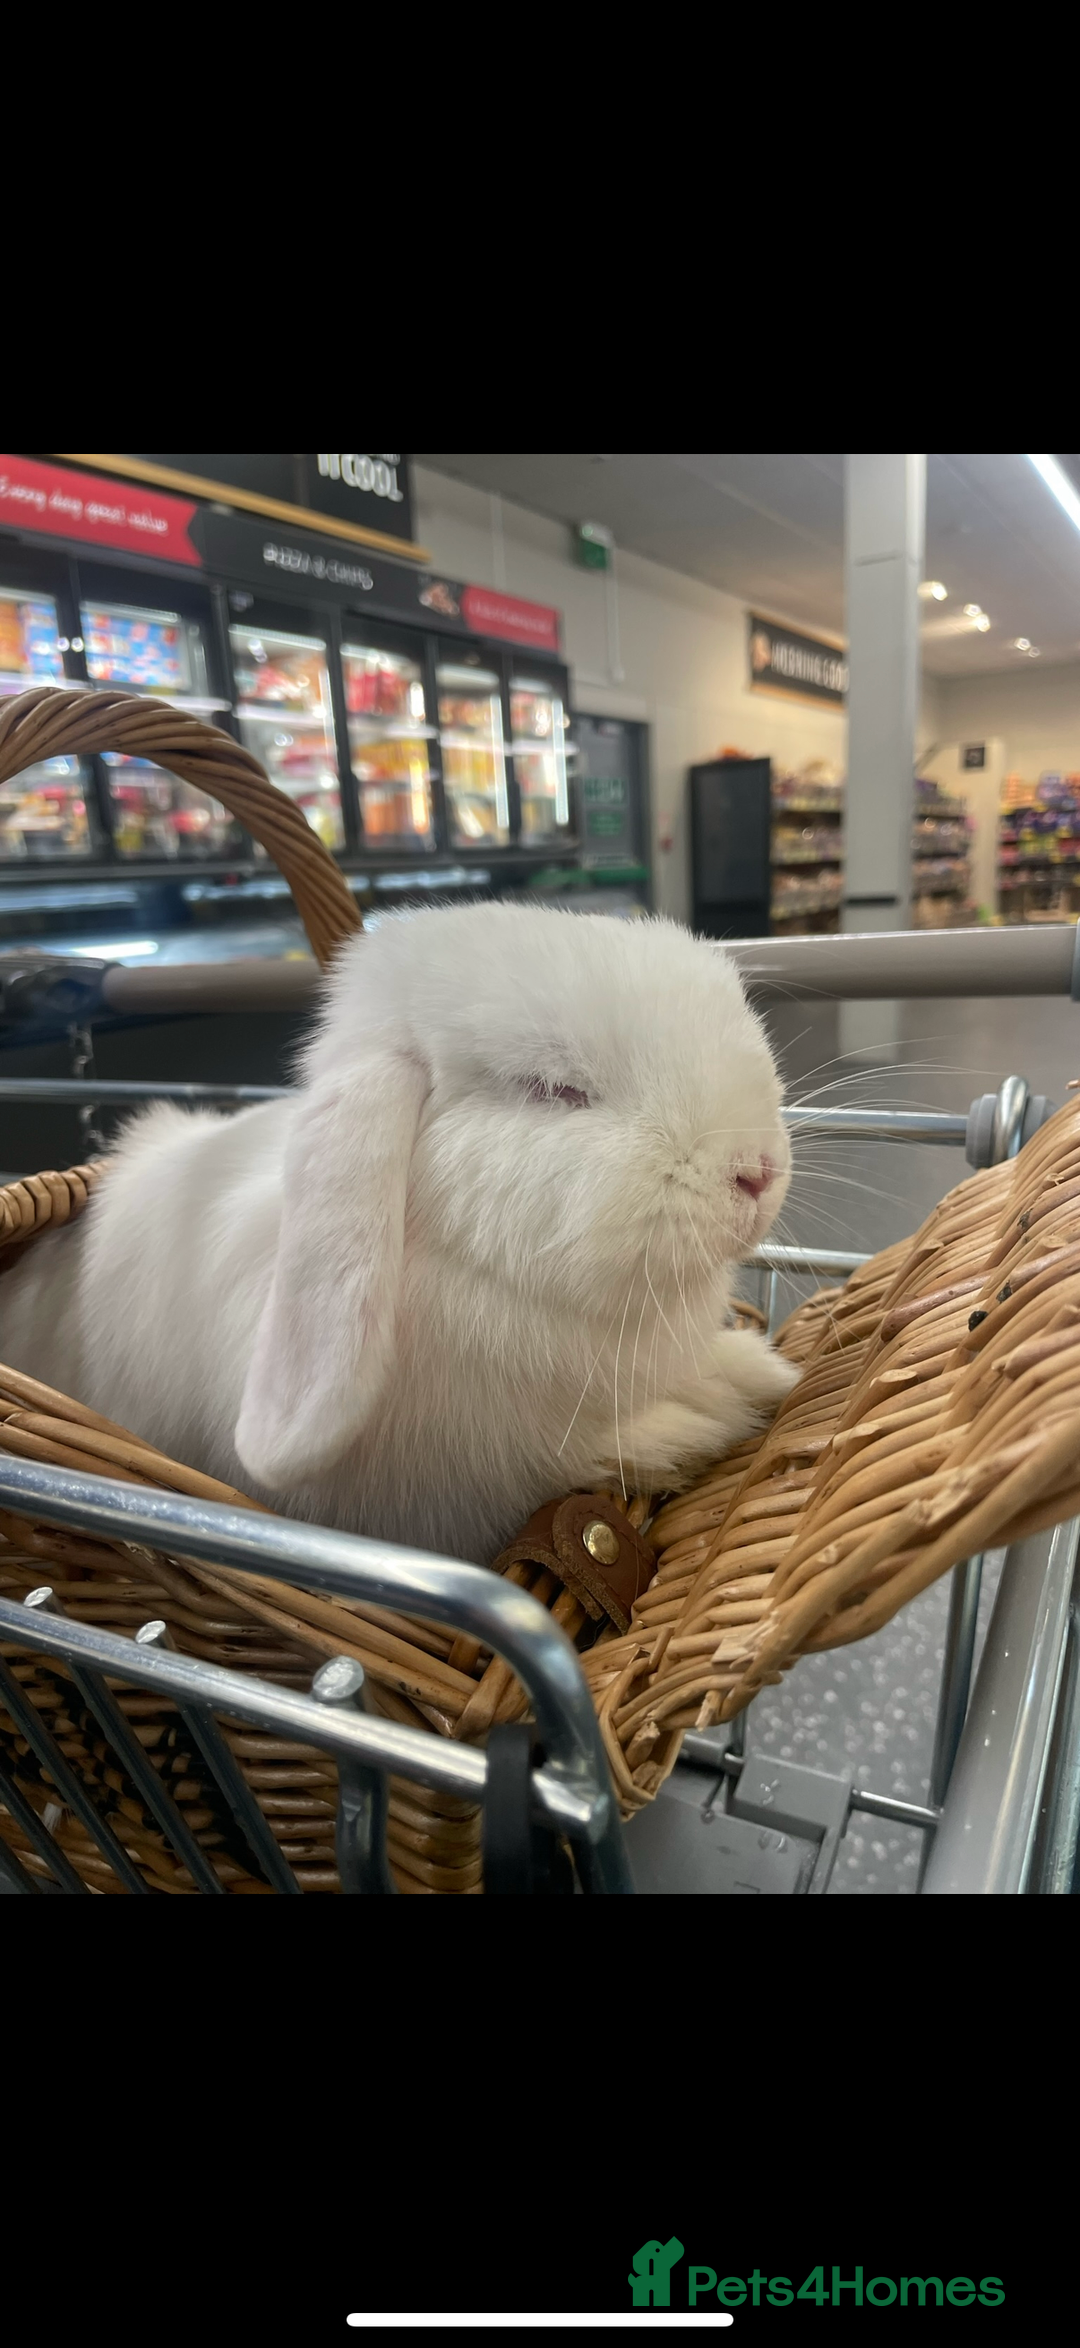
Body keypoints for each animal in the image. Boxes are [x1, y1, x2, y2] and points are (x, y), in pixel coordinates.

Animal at [0, 902, 799, 1566]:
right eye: (554, 1089)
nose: (756, 1171)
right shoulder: (476, 1481)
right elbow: (589, 1453)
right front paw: (703, 1421)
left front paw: (767, 1373)